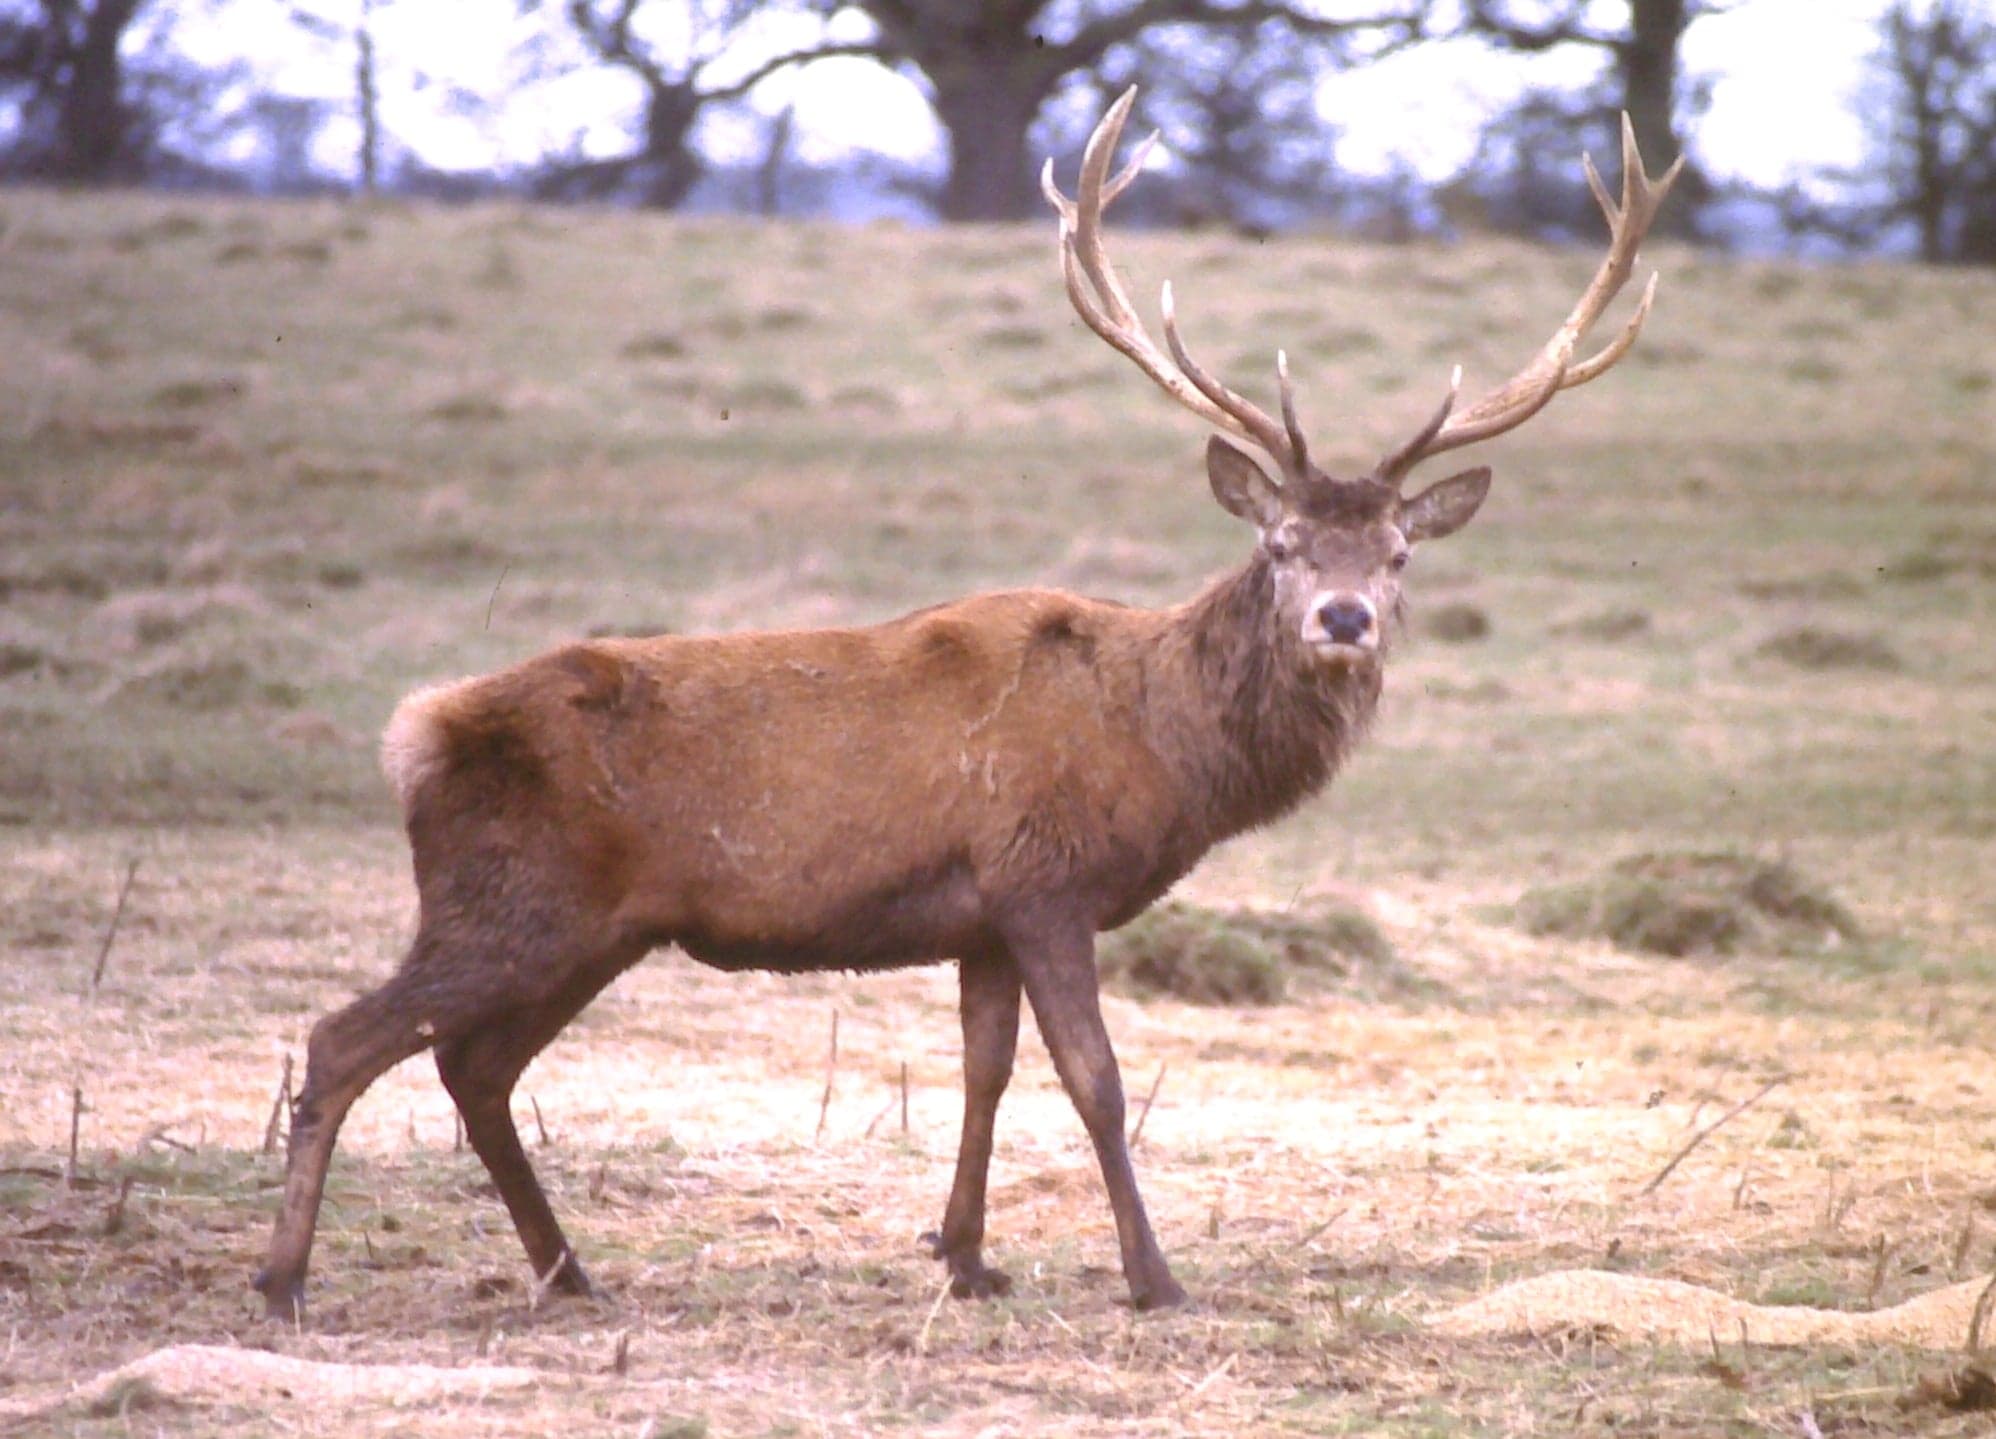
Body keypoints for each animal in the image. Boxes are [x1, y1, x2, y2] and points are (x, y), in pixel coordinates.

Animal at [254, 87, 1678, 1321]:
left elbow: (985, 1071)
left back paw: (568, 1272)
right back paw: (284, 1278)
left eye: (1395, 554)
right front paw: (1154, 1277)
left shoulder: (981, 915)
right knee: (344, 1038)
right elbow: (1097, 1080)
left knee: (473, 1066)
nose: (1342, 619)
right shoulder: (1045, 878)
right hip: (509, 897)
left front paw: (965, 1256)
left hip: (593, 924)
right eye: (1280, 544)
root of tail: (417, 732)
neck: (1160, 745)